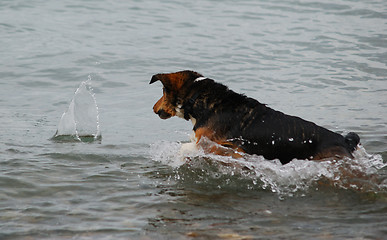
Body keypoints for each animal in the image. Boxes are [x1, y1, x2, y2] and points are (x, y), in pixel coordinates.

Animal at [149, 69, 360, 163]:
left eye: (163, 91)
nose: (152, 108)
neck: (198, 97)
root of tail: (345, 140)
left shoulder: (217, 145)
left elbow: (187, 148)